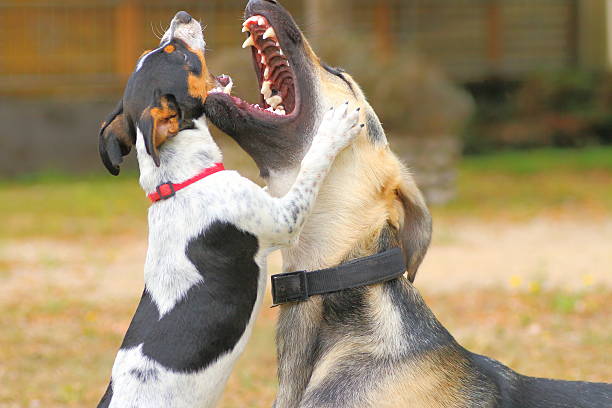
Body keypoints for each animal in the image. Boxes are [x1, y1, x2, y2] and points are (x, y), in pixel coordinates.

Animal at [98, 10, 360, 408]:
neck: (183, 180)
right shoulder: (285, 219)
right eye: (176, 53)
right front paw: (333, 129)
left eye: (160, 49)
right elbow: (311, 164)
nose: (182, 15)